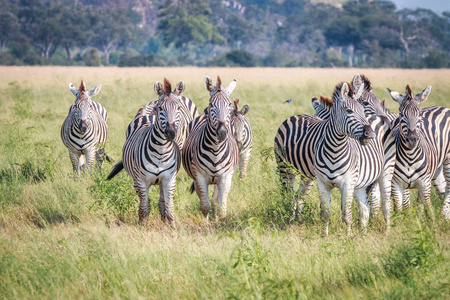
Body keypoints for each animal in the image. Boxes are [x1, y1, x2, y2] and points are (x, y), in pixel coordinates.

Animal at [107, 78, 183, 224]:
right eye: (161, 108)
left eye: (179, 108)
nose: (171, 133)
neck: (161, 151)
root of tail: (146, 115)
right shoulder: (141, 181)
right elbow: (144, 208)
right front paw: (142, 226)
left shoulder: (169, 179)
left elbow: (170, 209)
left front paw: (171, 227)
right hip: (135, 180)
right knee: (145, 201)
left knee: (162, 201)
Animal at [182, 76, 241, 219]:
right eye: (211, 104)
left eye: (229, 105)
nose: (222, 132)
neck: (215, 149)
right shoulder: (200, 177)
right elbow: (204, 206)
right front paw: (206, 222)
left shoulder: (225, 178)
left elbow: (221, 208)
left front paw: (220, 221)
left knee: (215, 199)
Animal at [386, 85, 450, 219]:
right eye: (401, 114)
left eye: (419, 114)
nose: (412, 139)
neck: (410, 157)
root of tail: (441, 107)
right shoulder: (396, 184)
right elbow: (400, 209)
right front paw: (408, 221)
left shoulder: (425, 184)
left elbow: (428, 206)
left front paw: (431, 222)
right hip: (436, 169)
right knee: (441, 187)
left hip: (448, 160)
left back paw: (444, 214)